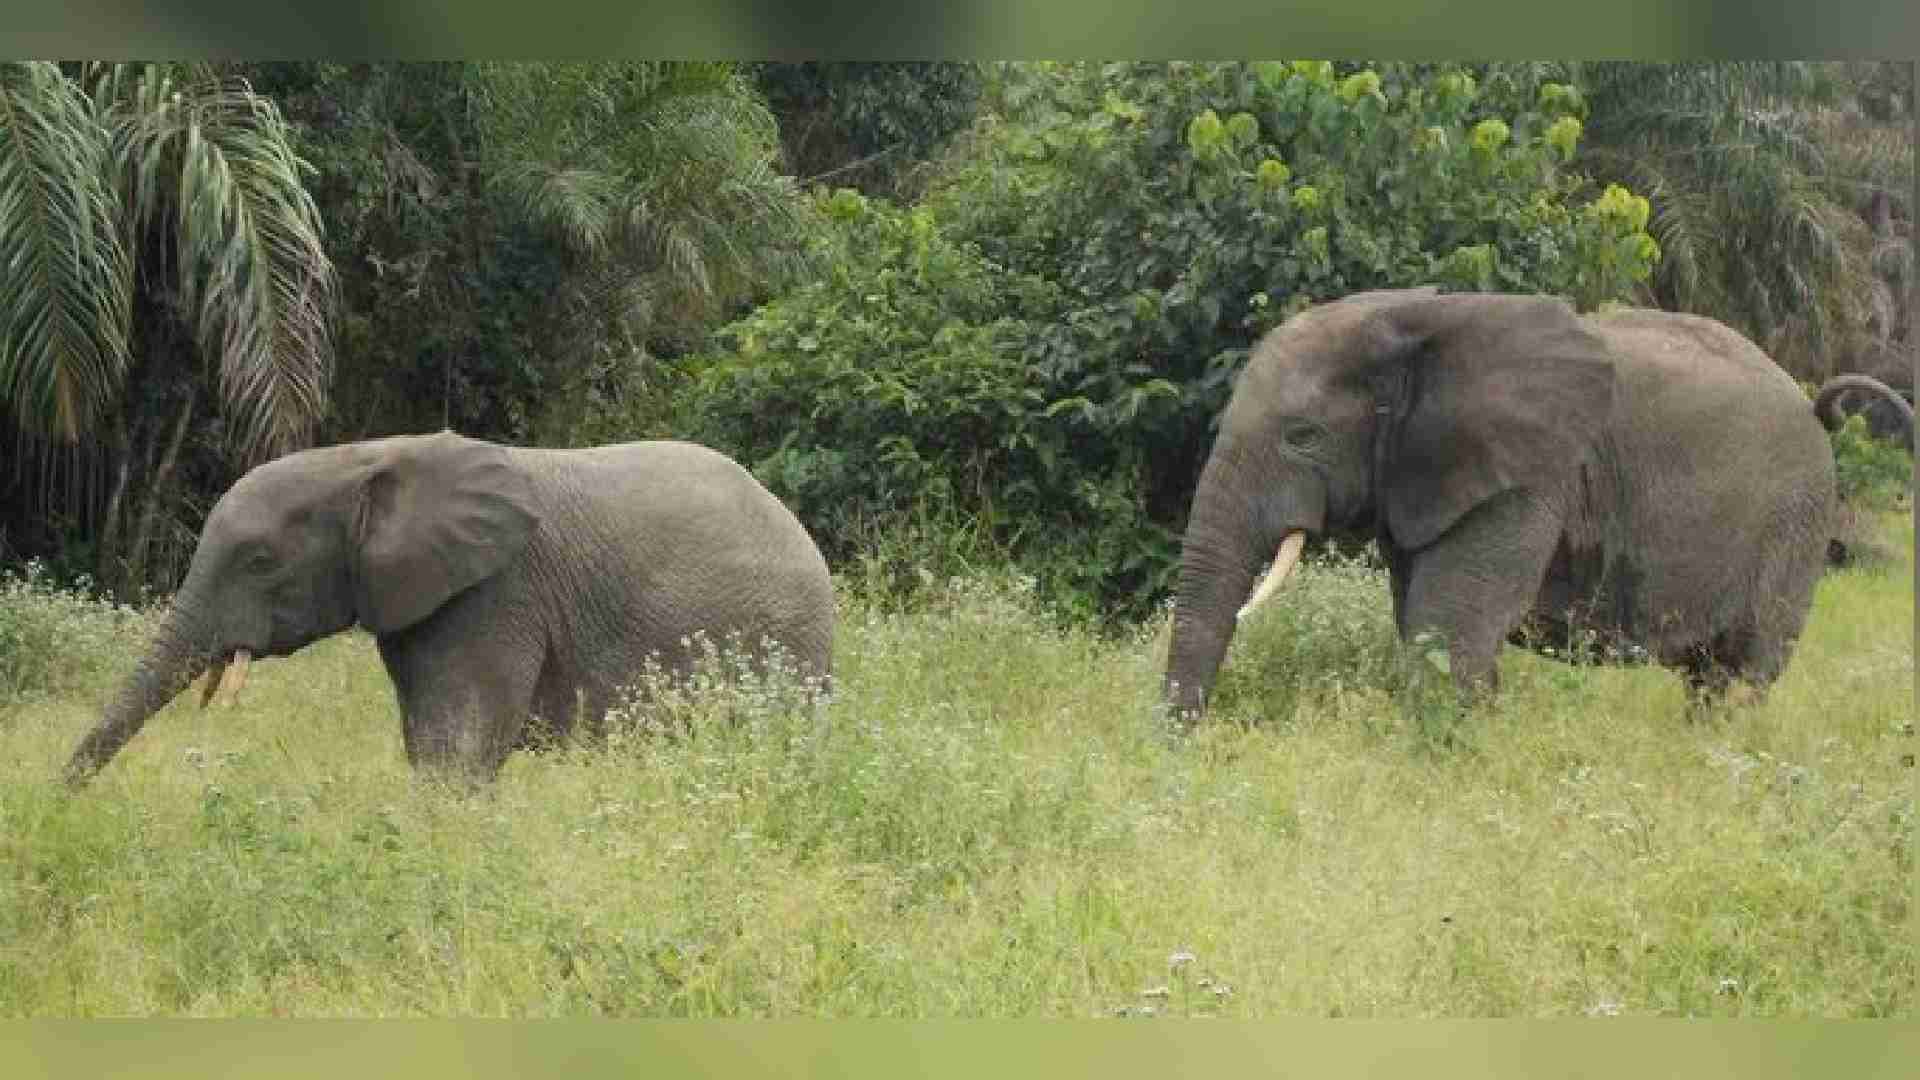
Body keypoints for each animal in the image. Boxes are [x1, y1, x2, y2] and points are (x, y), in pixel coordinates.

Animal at [1163, 288, 1840, 719]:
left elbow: (1451, 621)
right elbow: (1430, 621)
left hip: (1795, 520)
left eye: (1302, 437)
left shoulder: (1532, 470)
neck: (1411, 318)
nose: (1188, 744)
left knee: (1746, 668)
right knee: (1708, 679)